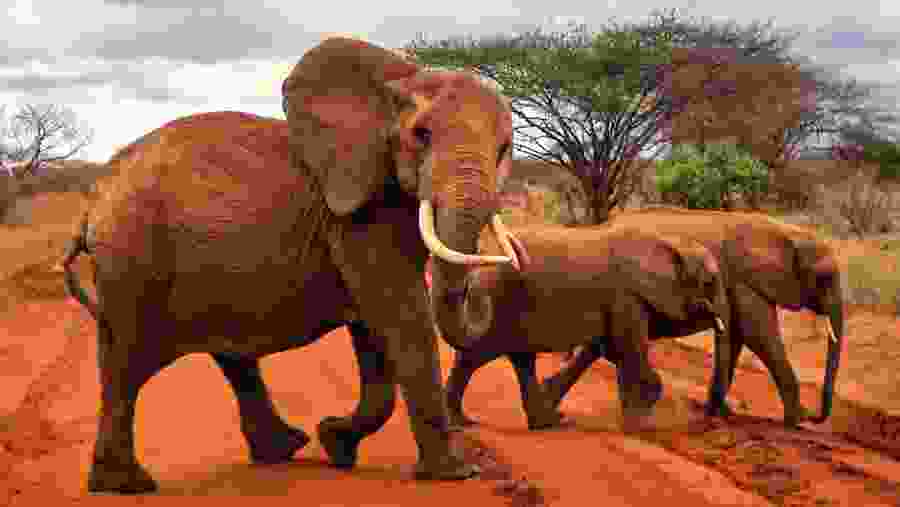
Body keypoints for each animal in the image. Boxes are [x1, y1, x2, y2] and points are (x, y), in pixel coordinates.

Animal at [60, 36, 527, 494]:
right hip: (133, 258)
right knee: (126, 361)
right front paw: (456, 474)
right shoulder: (358, 214)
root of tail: (93, 202)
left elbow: (374, 331)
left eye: (504, 149)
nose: (509, 263)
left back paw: (283, 449)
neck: (399, 80)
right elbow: (398, 314)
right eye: (421, 135)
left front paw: (337, 443)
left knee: (225, 355)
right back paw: (127, 485)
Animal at [429, 223, 729, 430]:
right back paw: (464, 422)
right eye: (711, 282)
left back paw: (543, 422)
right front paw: (638, 424)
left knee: (512, 358)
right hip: (499, 309)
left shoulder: (622, 302)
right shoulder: (627, 297)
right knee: (480, 356)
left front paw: (631, 418)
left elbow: (609, 348)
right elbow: (628, 348)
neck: (672, 242)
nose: (708, 423)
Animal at [550, 207, 844, 428]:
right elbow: (760, 336)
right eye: (824, 278)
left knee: (606, 345)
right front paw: (797, 421)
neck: (785, 231)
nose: (815, 416)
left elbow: (737, 337)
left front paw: (723, 413)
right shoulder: (746, 282)